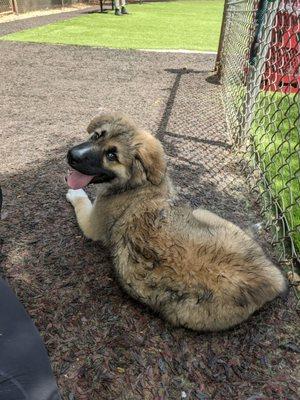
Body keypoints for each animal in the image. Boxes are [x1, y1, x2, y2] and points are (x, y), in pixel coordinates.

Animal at [65, 112, 286, 332]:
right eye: (96, 136)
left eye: (112, 156)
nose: (71, 155)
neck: (139, 185)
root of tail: (266, 280)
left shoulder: (91, 224)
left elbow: (81, 201)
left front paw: (75, 193)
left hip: (200, 211)